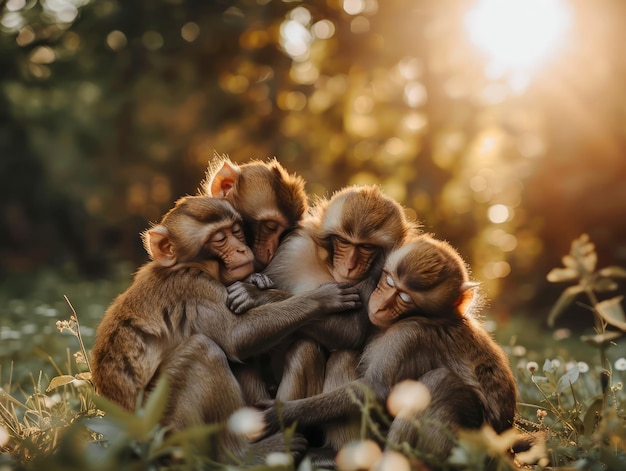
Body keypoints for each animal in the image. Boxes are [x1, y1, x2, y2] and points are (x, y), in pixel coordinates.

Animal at [89, 195, 358, 464]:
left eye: (236, 231)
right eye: (219, 239)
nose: (241, 249)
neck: (189, 266)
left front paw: (256, 283)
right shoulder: (192, 286)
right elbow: (236, 337)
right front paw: (324, 298)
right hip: (166, 430)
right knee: (202, 350)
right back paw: (244, 454)